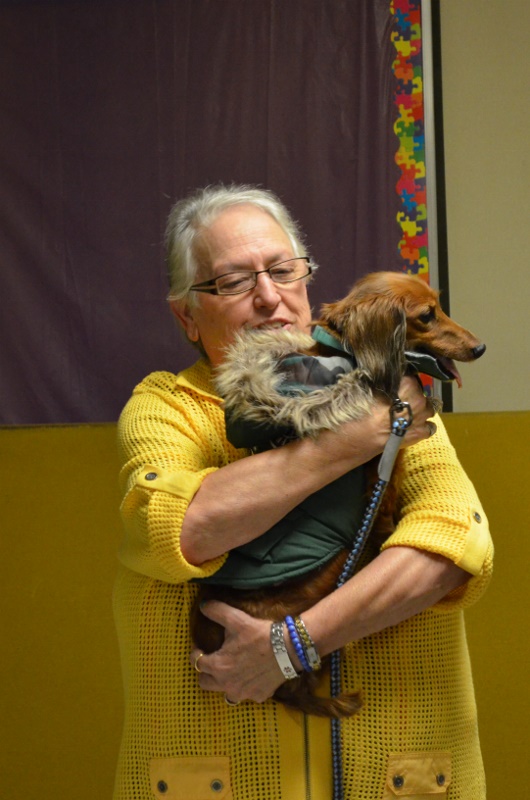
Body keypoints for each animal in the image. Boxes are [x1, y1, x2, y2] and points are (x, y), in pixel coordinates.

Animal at [190, 270, 482, 720]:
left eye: (439, 305)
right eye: (427, 315)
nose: (479, 347)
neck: (349, 355)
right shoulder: (382, 469)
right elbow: (384, 511)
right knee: (296, 690)